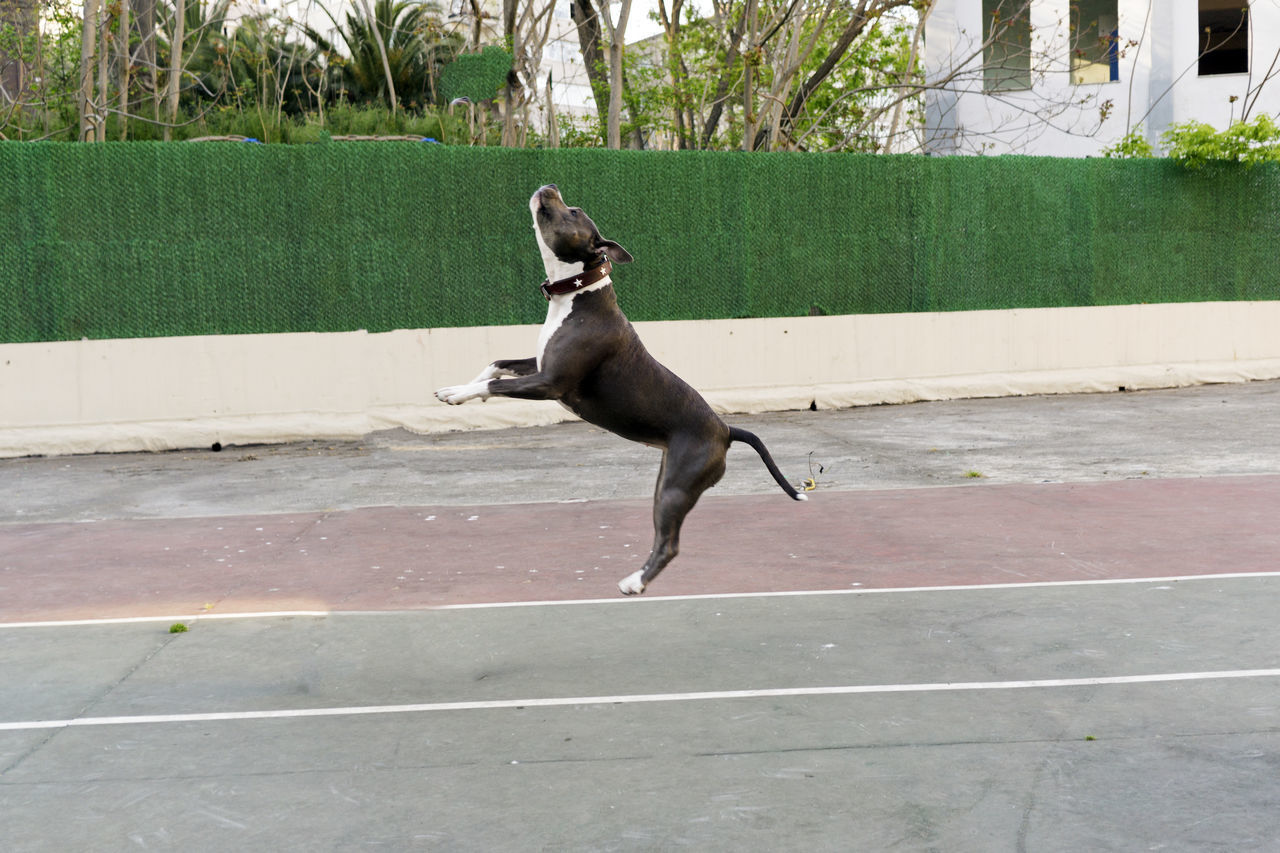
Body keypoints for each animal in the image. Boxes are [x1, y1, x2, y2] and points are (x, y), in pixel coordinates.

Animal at [435, 183, 803, 591]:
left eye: (574, 211)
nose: (549, 186)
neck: (578, 295)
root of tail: (726, 429)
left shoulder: (551, 383)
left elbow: (495, 384)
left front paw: (458, 394)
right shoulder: (538, 366)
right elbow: (496, 365)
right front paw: (457, 388)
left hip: (676, 489)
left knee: (669, 544)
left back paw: (635, 582)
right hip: (664, 483)